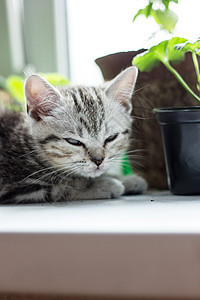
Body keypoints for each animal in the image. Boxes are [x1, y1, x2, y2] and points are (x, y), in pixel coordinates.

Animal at [0, 67, 147, 204]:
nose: (98, 160)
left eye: (111, 138)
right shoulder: (16, 186)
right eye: (73, 142)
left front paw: (127, 179)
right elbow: (62, 187)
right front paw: (104, 184)